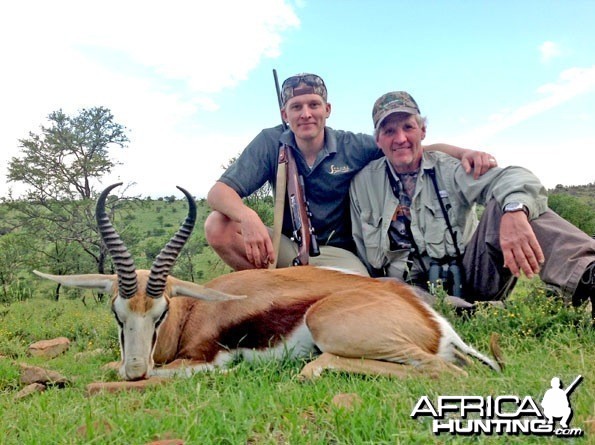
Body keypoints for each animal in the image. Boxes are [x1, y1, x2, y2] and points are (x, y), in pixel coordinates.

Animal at [33, 182, 502, 380]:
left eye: (161, 312)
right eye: (116, 313)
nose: (135, 370)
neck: (194, 312)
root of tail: (434, 323)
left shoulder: (209, 361)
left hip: (330, 327)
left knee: (446, 371)